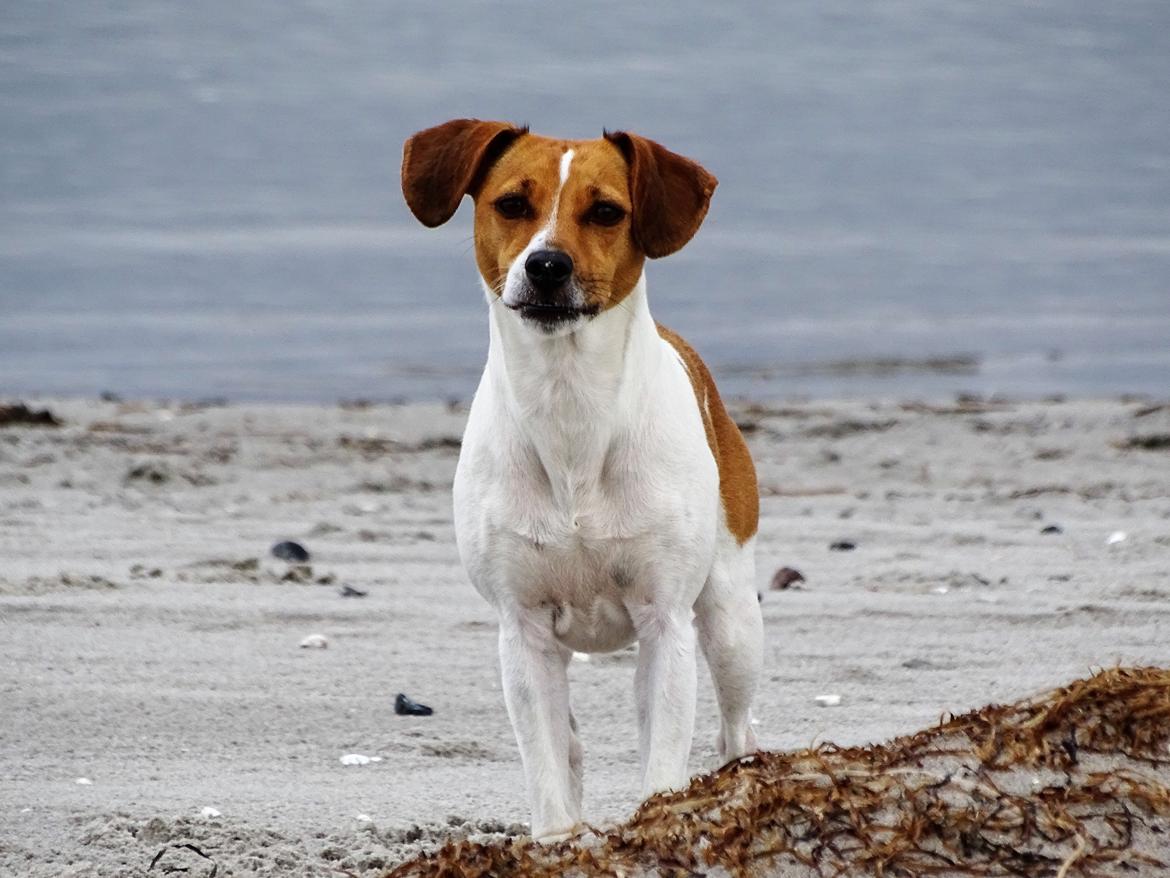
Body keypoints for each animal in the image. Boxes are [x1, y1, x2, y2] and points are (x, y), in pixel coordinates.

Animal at [402, 120, 762, 842]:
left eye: (605, 212)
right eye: (512, 203)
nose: (548, 265)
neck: (570, 410)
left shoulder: (665, 623)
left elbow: (662, 758)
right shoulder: (524, 631)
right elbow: (546, 762)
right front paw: (557, 840)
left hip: (732, 618)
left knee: (734, 729)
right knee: (569, 746)